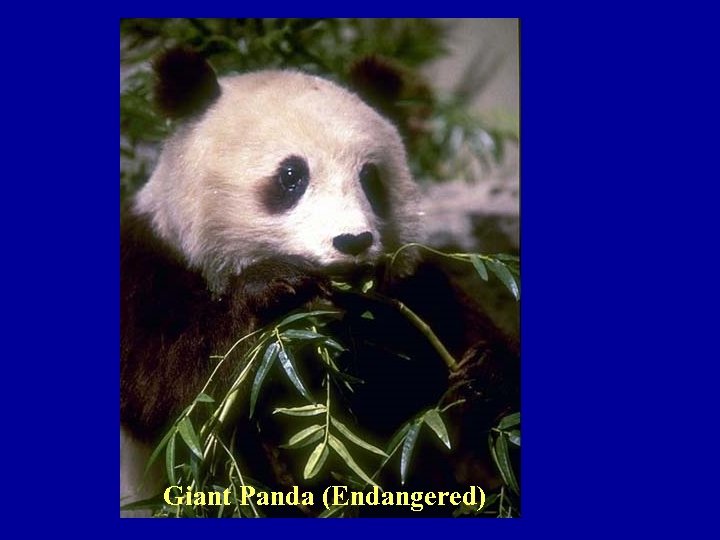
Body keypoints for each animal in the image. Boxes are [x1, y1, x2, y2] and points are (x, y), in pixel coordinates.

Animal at [121, 48, 519, 517]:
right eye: (292, 176)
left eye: (370, 178)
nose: (353, 241)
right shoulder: (147, 266)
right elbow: (174, 383)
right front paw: (273, 284)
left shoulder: (417, 293)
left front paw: (482, 378)